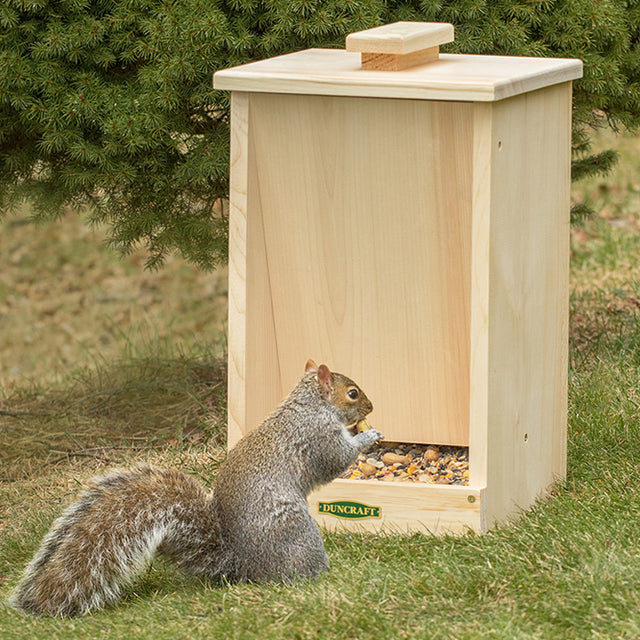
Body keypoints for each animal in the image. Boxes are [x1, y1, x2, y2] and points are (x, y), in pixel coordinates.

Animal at [7, 360, 382, 616]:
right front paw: (368, 436)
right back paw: (323, 576)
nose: (371, 407)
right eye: (352, 393)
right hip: (296, 534)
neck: (309, 405)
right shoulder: (316, 437)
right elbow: (337, 458)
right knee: (296, 574)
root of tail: (241, 567)